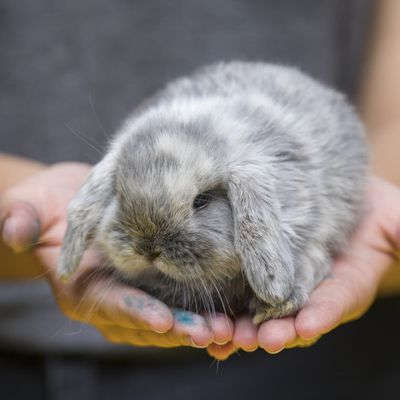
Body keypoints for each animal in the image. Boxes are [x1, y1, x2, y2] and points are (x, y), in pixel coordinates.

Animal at [57, 62, 368, 324]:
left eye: (202, 201)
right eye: (119, 196)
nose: (149, 249)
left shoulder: (312, 228)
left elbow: (309, 262)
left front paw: (276, 306)